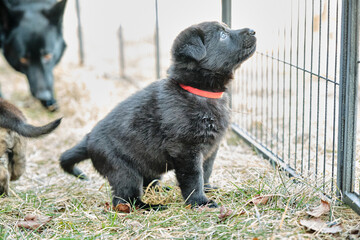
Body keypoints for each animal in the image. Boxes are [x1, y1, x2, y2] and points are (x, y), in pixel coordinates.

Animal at [59, 21, 256, 209]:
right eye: (223, 35)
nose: (253, 31)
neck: (197, 91)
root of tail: (88, 139)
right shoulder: (186, 150)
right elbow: (194, 178)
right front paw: (199, 202)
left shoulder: (211, 148)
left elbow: (206, 171)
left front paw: (207, 189)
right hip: (123, 170)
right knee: (125, 200)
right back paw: (152, 207)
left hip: (146, 163)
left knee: (147, 183)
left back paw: (161, 190)